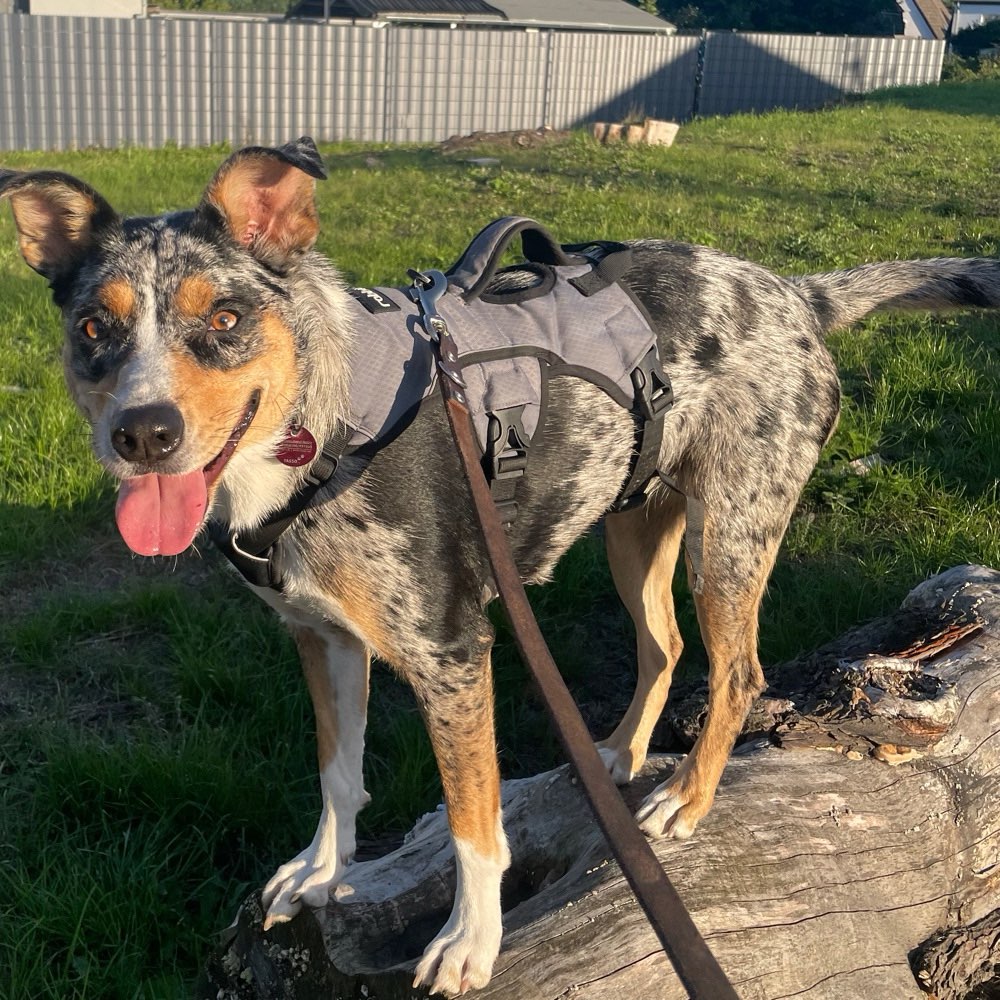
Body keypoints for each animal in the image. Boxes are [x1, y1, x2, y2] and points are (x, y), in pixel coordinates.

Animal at [1, 139, 1000, 992]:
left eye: (226, 317)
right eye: (92, 327)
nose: (142, 433)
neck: (315, 431)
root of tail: (795, 295)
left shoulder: (451, 654)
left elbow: (473, 820)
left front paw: (468, 942)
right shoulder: (323, 639)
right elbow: (336, 773)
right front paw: (319, 872)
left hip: (731, 536)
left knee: (737, 671)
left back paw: (685, 798)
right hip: (632, 524)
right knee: (667, 647)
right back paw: (616, 753)